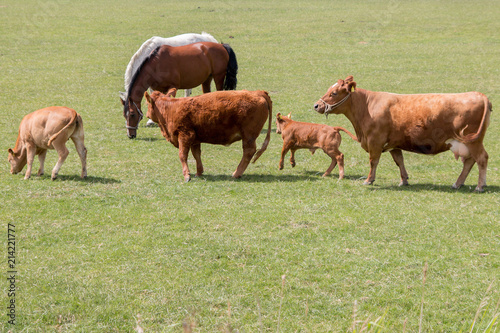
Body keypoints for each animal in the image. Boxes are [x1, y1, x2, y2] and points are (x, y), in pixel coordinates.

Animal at [314, 75, 490, 189]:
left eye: (334, 93)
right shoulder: (393, 144)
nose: (316, 105)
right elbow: (399, 161)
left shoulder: (375, 141)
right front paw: (404, 180)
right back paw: (457, 183)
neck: (367, 106)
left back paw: (480, 186)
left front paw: (369, 180)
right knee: (469, 161)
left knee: (481, 158)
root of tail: (479, 94)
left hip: (473, 141)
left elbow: (373, 161)